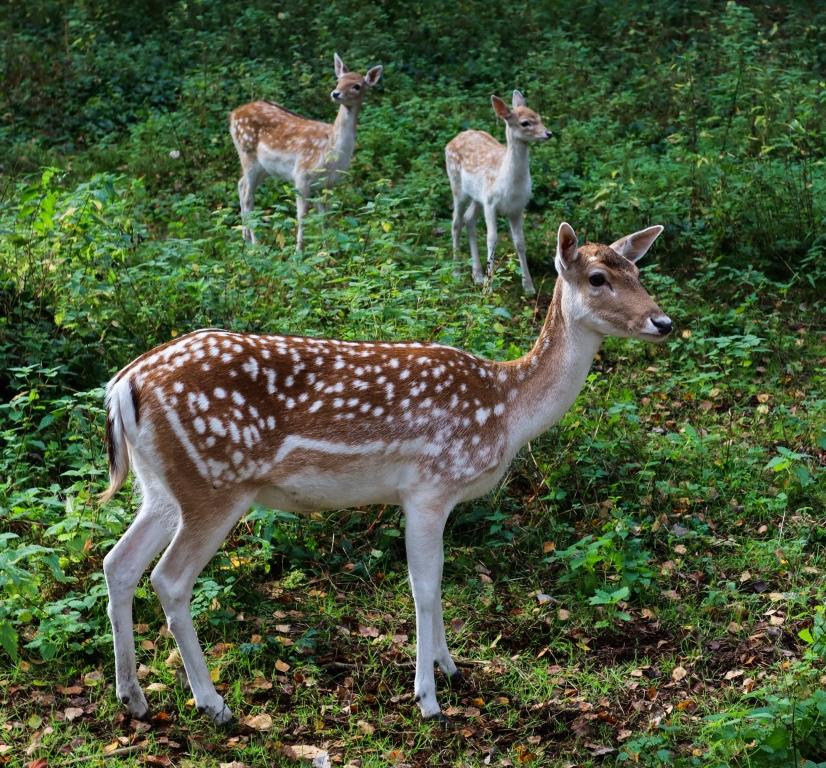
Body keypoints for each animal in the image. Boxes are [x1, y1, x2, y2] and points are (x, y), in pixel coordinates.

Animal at [101, 222, 668, 728]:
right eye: (598, 277)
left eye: (638, 270)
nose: (661, 322)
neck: (506, 409)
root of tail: (123, 384)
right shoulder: (429, 486)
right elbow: (424, 586)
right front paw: (428, 698)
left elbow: (437, 581)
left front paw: (451, 668)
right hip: (215, 484)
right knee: (169, 579)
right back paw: (213, 705)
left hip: (161, 487)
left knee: (119, 563)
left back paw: (133, 699)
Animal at [225, 54, 380, 252]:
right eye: (338, 80)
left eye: (357, 85)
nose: (335, 93)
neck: (331, 152)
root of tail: (233, 114)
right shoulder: (302, 175)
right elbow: (302, 216)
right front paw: (298, 252)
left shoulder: (328, 184)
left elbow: (325, 217)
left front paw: (327, 250)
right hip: (247, 153)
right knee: (247, 196)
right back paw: (256, 244)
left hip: (264, 168)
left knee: (240, 184)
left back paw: (244, 238)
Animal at [440, 89, 552, 294]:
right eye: (525, 122)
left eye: (539, 116)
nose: (549, 133)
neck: (509, 184)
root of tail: (453, 139)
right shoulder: (491, 203)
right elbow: (492, 239)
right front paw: (488, 288)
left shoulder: (518, 208)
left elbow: (520, 242)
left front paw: (528, 286)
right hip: (457, 186)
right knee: (456, 222)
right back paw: (457, 272)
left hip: (478, 198)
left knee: (469, 219)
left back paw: (477, 274)